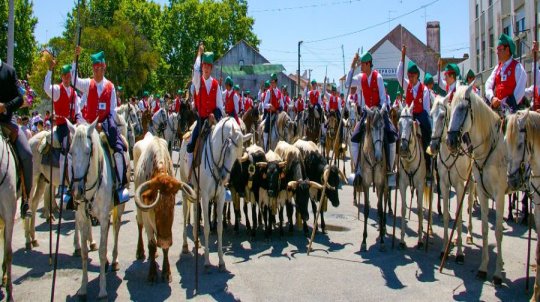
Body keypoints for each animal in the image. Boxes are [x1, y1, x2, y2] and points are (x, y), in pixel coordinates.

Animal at [67, 119, 124, 298]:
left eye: (88, 152)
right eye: (71, 151)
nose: (77, 191)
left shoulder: (105, 216)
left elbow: (102, 250)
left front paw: (103, 289)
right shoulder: (83, 216)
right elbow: (85, 253)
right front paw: (83, 288)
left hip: (118, 207)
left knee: (116, 229)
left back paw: (114, 260)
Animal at [178, 117, 252, 268]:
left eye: (238, 154)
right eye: (228, 150)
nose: (224, 177)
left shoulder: (220, 196)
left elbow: (219, 227)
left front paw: (221, 260)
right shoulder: (206, 197)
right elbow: (207, 227)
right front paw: (207, 260)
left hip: (197, 191)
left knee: (195, 210)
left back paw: (196, 239)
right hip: (186, 188)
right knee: (185, 211)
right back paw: (185, 246)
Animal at [428, 95, 474, 262]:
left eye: (442, 116)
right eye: (431, 115)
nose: (433, 146)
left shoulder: (460, 186)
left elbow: (458, 216)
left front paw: (459, 253)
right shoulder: (444, 184)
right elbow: (448, 215)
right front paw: (444, 249)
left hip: (471, 181)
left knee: (470, 201)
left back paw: (469, 235)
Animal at [446, 84, 508, 286]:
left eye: (463, 109)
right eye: (451, 108)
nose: (450, 141)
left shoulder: (499, 194)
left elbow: (498, 232)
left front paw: (497, 273)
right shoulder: (482, 190)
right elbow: (486, 229)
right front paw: (483, 268)